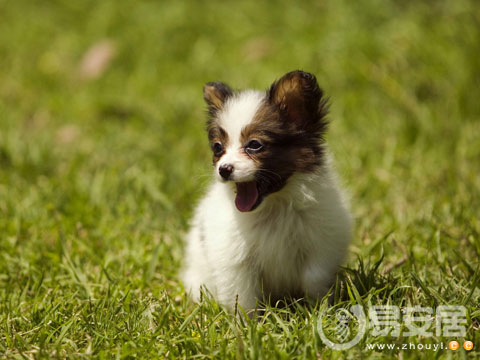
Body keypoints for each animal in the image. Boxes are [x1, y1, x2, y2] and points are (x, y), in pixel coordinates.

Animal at [181, 70, 352, 312]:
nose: (224, 169)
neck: (273, 206)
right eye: (218, 147)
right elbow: (243, 297)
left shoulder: (321, 245)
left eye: (254, 145)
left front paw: (318, 310)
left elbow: (314, 279)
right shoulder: (235, 261)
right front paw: (246, 322)